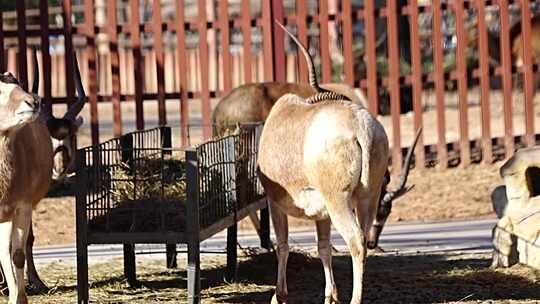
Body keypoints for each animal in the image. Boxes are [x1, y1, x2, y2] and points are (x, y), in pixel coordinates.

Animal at [258, 22, 422, 304]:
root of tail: (361, 128)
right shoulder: (321, 213)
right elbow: (323, 247)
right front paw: (330, 296)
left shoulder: (275, 202)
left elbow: (283, 245)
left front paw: (279, 296)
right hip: (367, 198)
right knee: (363, 239)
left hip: (339, 200)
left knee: (355, 241)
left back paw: (355, 300)